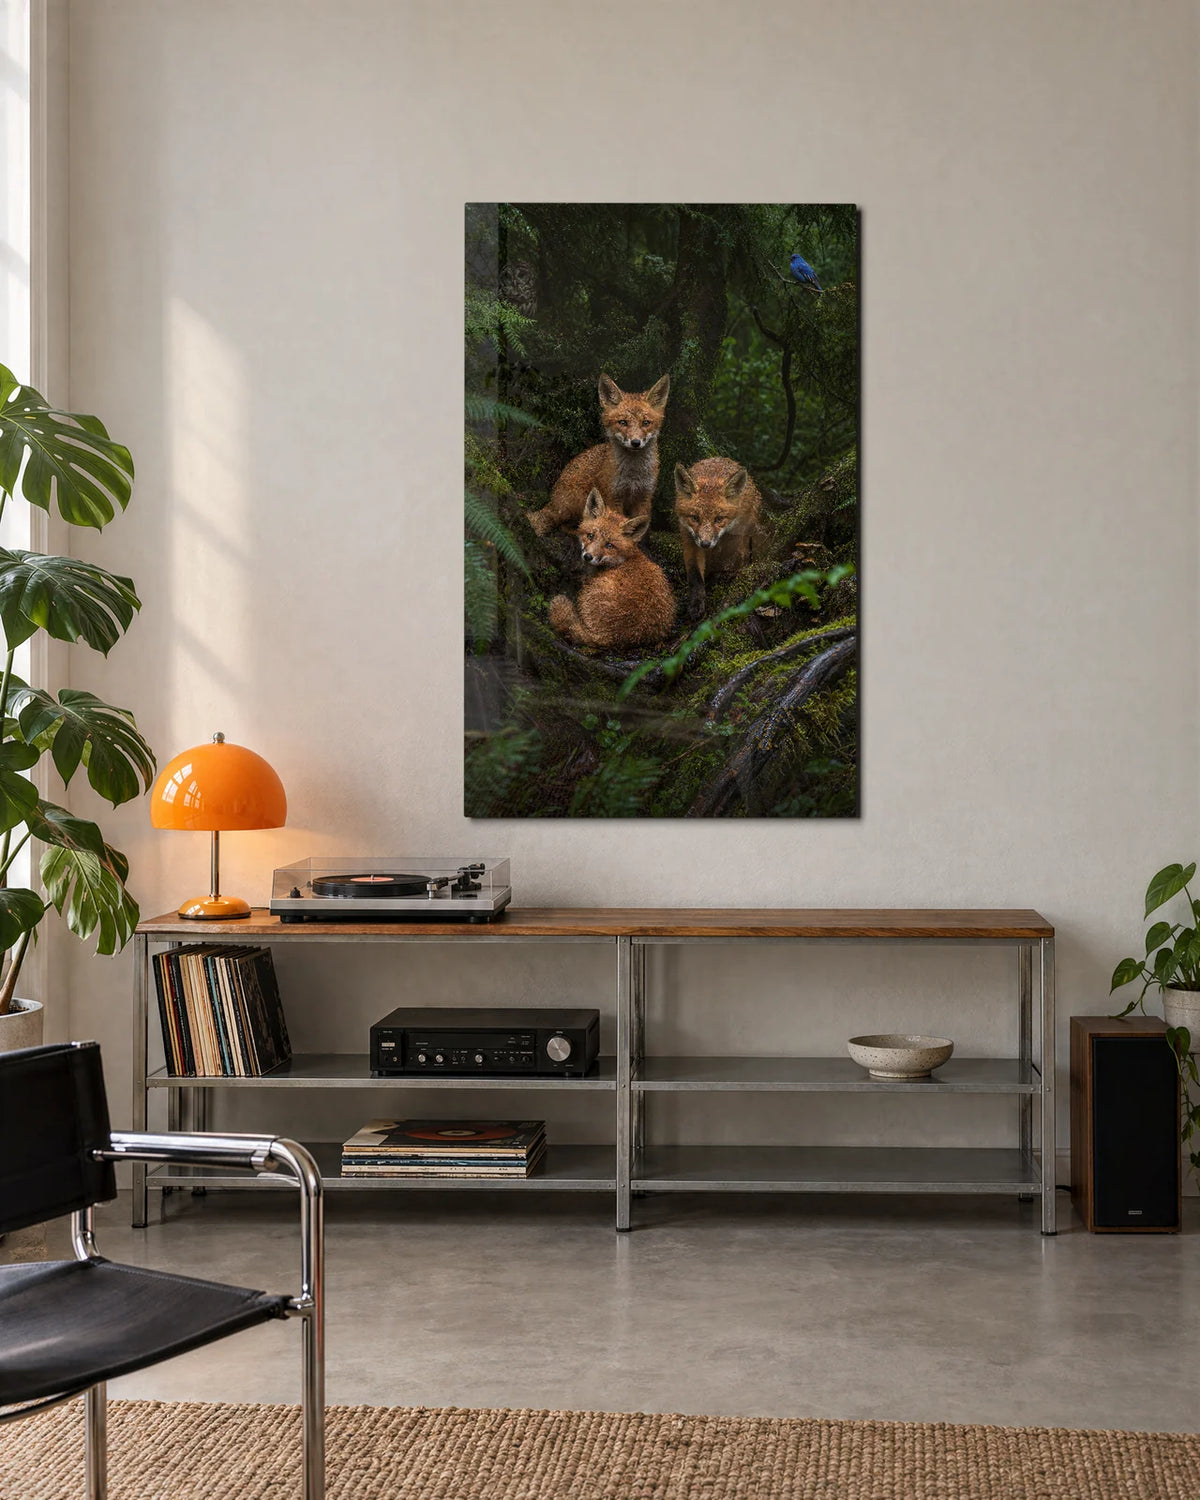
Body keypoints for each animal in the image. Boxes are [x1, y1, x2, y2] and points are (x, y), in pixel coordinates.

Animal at [527, 373, 670, 537]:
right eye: (623, 422)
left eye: (646, 423)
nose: (635, 442)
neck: (633, 475)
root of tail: (552, 499)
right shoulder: (613, 497)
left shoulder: (644, 497)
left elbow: (640, 530)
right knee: (566, 525)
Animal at [674, 457, 763, 620]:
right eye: (695, 518)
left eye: (719, 519)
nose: (705, 544)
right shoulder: (689, 539)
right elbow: (695, 576)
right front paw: (696, 603)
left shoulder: (736, 535)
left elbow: (731, 559)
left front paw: (722, 577)